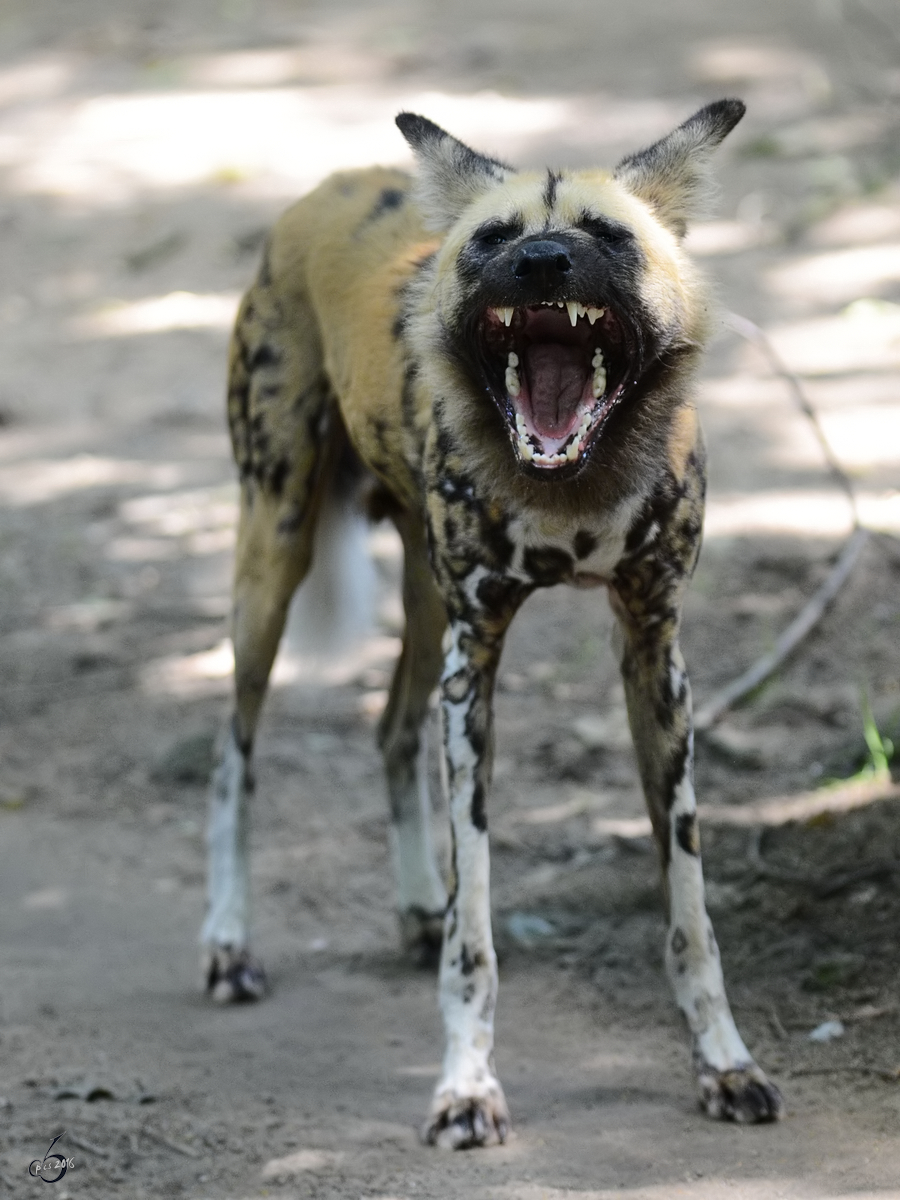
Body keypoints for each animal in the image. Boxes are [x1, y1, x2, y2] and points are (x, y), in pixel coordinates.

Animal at [202, 100, 782, 1142]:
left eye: (606, 236)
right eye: (494, 239)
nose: (543, 262)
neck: (571, 491)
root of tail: (330, 188)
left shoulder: (654, 657)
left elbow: (691, 914)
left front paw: (724, 1061)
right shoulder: (476, 669)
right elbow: (475, 935)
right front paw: (466, 1086)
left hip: (424, 601)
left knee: (391, 730)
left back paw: (413, 908)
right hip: (274, 551)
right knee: (235, 748)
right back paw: (229, 944)